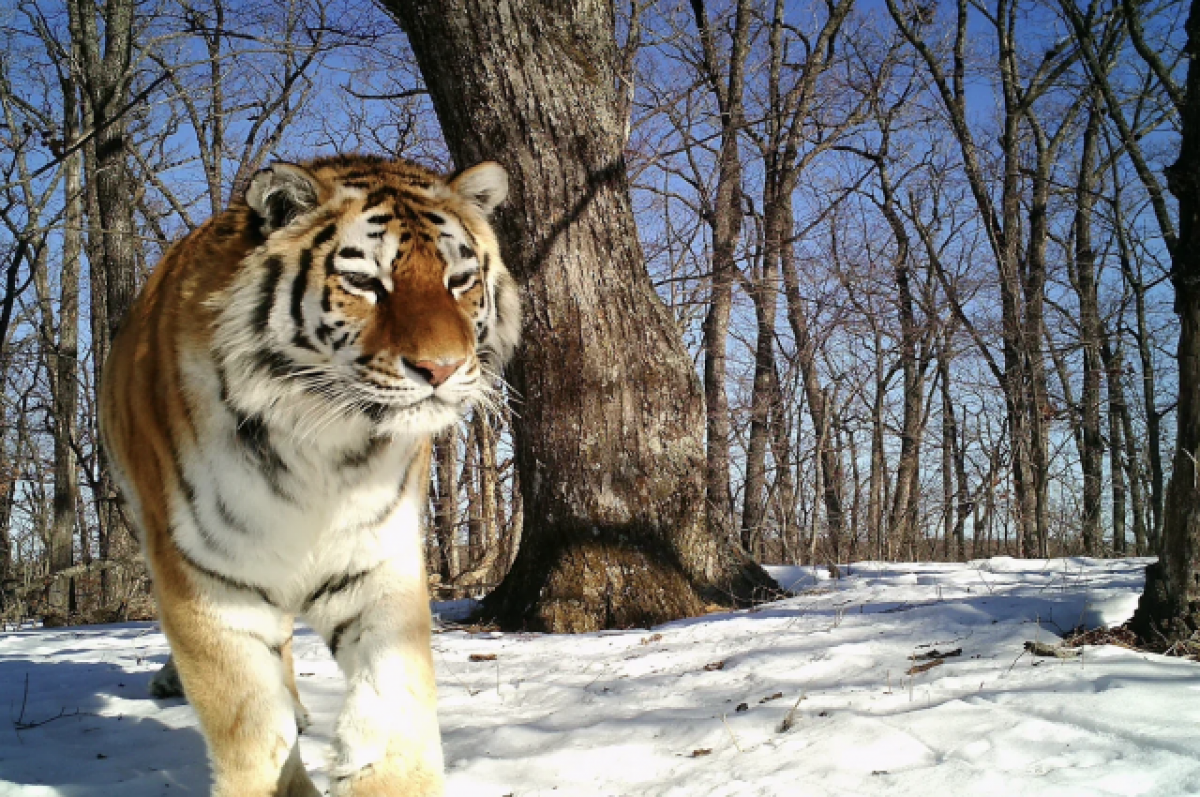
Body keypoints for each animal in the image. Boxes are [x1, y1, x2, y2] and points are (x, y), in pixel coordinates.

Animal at [98, 152, 520, 792]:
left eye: (458, 281)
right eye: (365, 284)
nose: (441, 369)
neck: (323, 446)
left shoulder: (376, 558)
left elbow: (393, 703)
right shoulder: (206, 576)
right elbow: (250, 725)